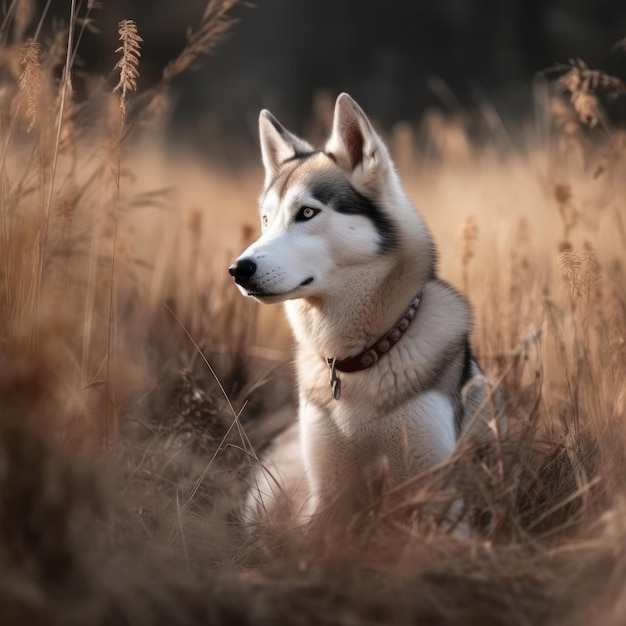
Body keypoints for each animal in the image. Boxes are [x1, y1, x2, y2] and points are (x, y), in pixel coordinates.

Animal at [227, 92, 500, 520]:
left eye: (307, 212)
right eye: (266, 220)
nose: (238, 270)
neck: (360, 359)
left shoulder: (435, 492)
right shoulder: (327, 495)